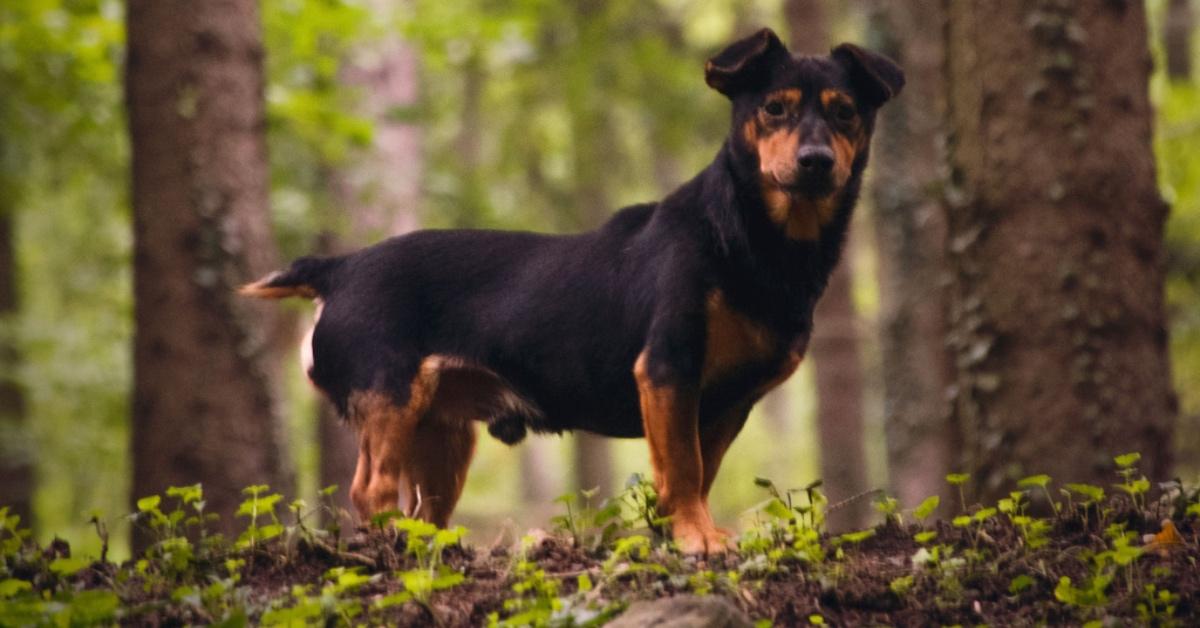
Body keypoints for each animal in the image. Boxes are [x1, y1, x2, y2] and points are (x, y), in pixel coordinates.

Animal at [241, 27, 902, 552]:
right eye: (774, 110)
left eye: (845, 113)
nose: (815, 161)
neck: (747, 234)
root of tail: (342, 267)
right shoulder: (668, 368)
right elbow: (684, 471)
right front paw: (697, 540)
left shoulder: (726, 403)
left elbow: (698, 471)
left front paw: (687, 533)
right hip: (391, 402)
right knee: (370, 492)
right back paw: (390, 551)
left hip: (444, 435)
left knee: (424, 509)